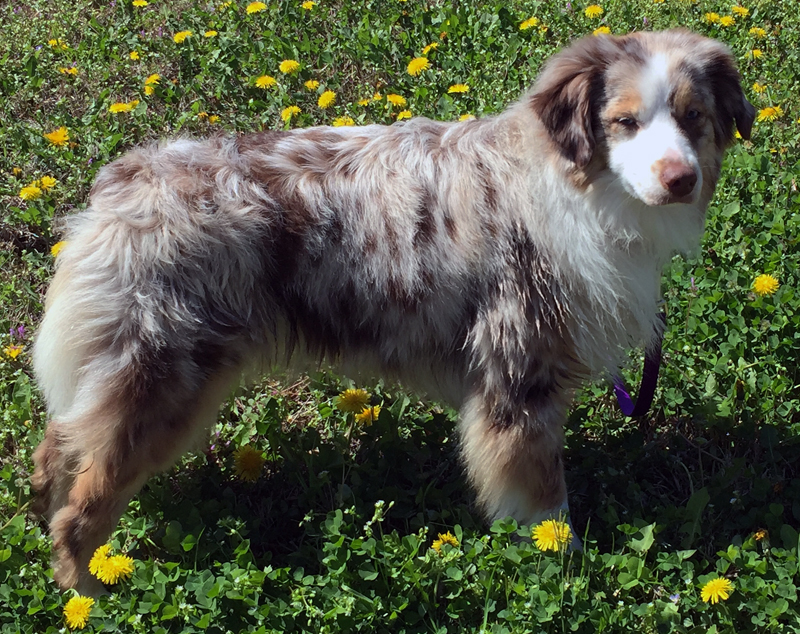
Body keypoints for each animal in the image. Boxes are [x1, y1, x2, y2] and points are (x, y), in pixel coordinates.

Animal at [31, 28, 752, 592]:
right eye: (625, 121)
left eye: (694, 116)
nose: (680, 178)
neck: (574, 185)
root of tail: (119, 187)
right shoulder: (518, 375)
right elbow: (547, 500)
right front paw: (569, 571)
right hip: (163, 388)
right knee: (80, 513)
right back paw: (89, 593)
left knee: (61, 445)